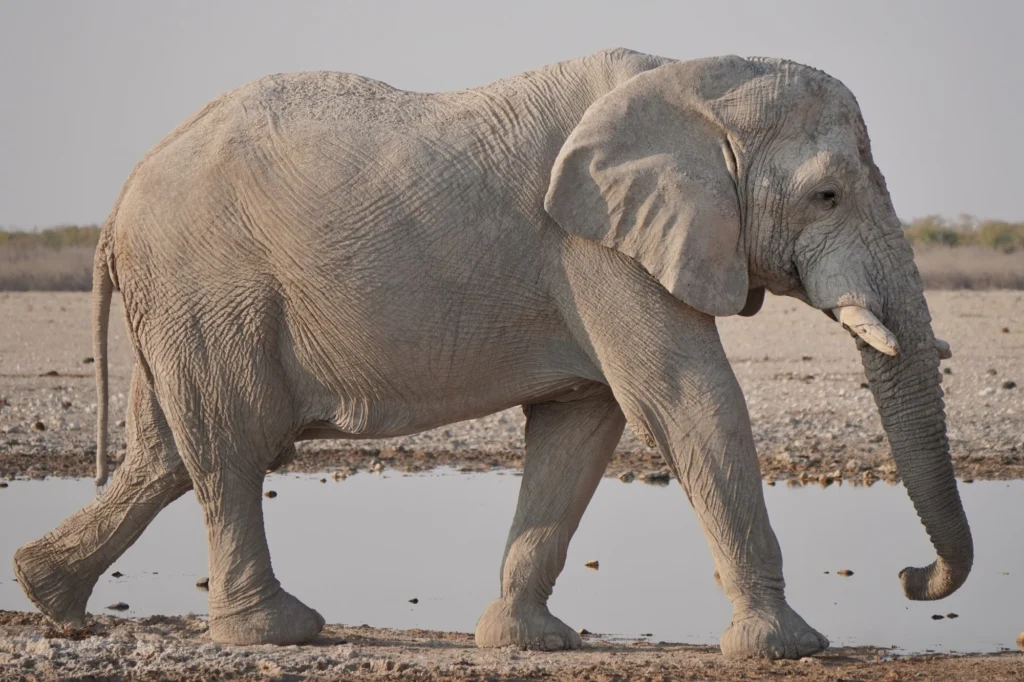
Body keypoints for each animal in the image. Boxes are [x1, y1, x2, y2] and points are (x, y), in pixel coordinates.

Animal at [13, 48, 971, 660]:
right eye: (827, 194)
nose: (910, 575)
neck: (693, 81)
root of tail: (120, 197)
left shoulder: (595, 257)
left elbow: (583, 423)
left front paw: (529, 642)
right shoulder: (595, 249)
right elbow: (683, 398)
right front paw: (793, 648)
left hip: (180, 297)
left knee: (165, 455)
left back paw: (49, 597)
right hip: (206, 282)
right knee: (232, 444)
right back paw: (279, 631)